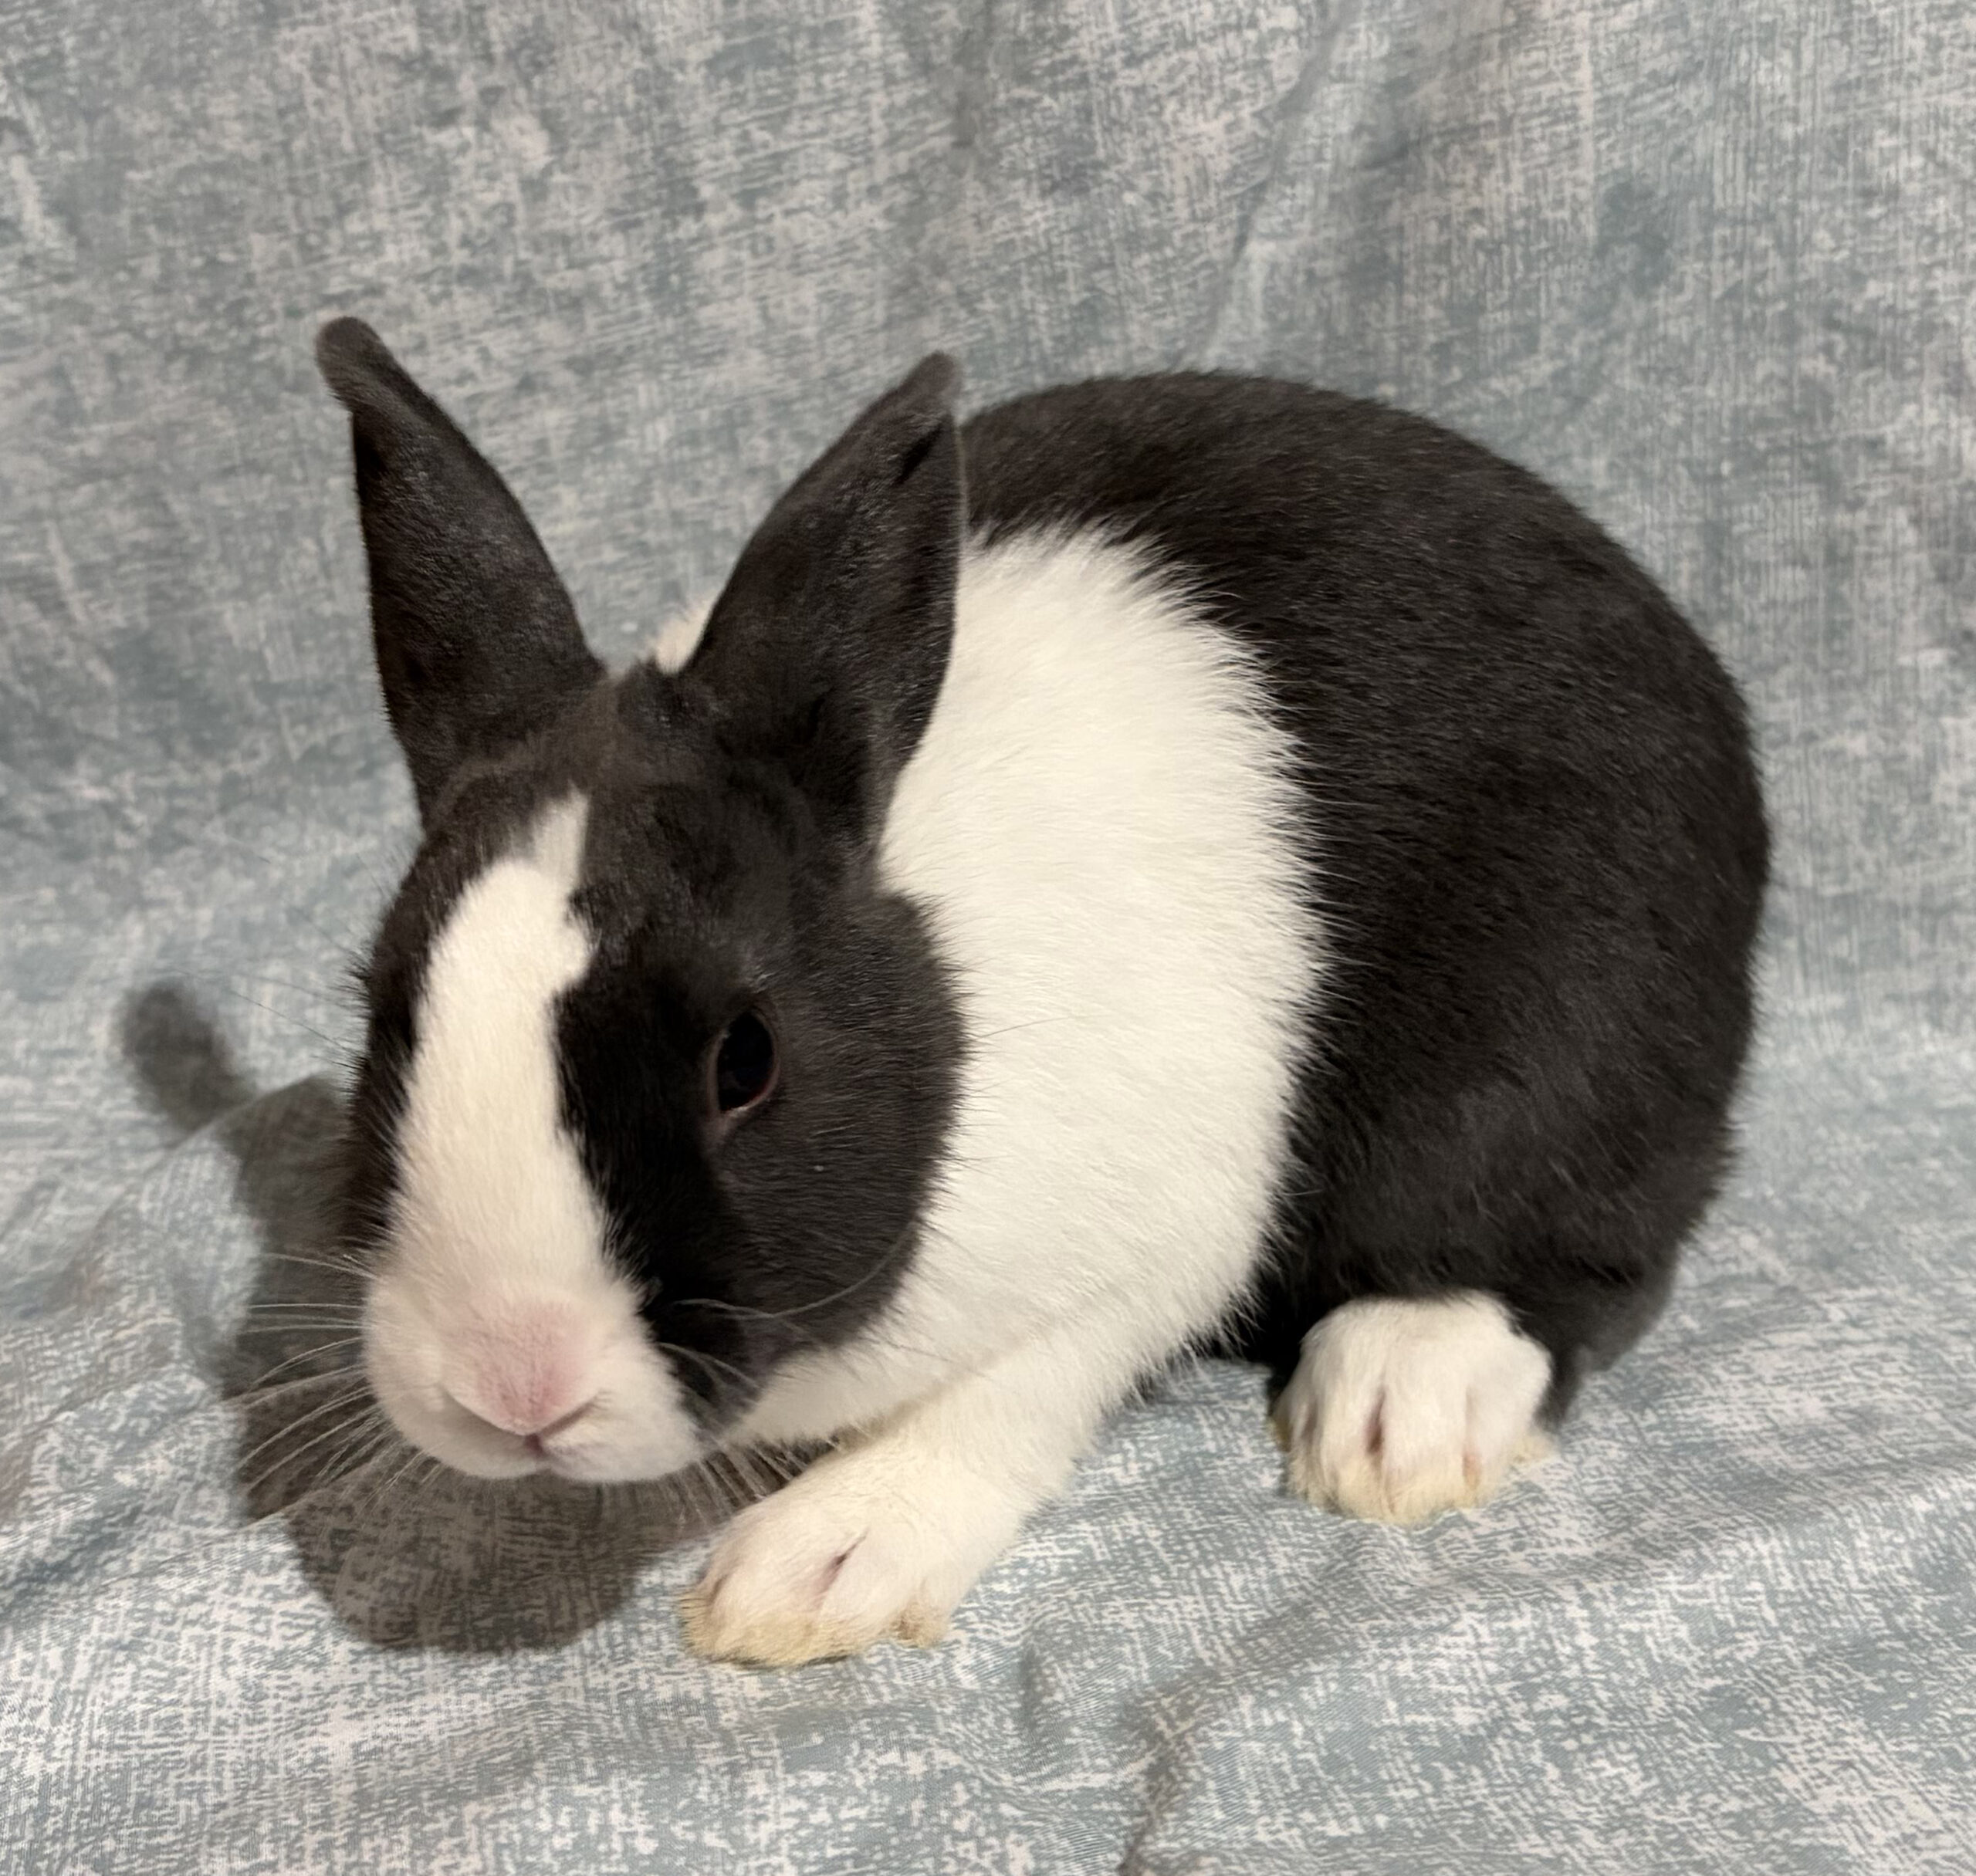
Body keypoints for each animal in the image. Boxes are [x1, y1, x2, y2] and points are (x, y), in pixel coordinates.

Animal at [315, 317, 1768, 1668]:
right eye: (389, 1016)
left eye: (746, 1058)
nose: (514, 1383)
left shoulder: (1152, 1238)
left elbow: (999, 1401)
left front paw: (814, 1572)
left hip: (1570, 1055)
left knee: (1576, 1254)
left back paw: (1398, 1413)